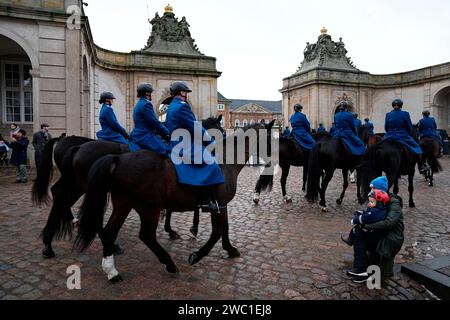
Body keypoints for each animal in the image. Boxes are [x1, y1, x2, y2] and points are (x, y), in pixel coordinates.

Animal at [34, 115, 224, 258]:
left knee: (59, 194)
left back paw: (49, 242)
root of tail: (77, 146)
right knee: (69, 201)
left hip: (76, 184)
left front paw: (173, 229)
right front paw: (189, 228)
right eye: (220, 130)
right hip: (83, 186)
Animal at [73, 120, 274, 282]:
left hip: (124, 204)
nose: (272, 162)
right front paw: (197, 255)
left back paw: (112, 271)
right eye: (271, 139)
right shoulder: (220, 203)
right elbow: (217, 231)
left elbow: (224, 229)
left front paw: (230, 249)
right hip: (149, 207)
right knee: (146, 235)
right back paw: (169, 264)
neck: (225, 159)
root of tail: (118, 159)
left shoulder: (220, 205)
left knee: (110, 231)